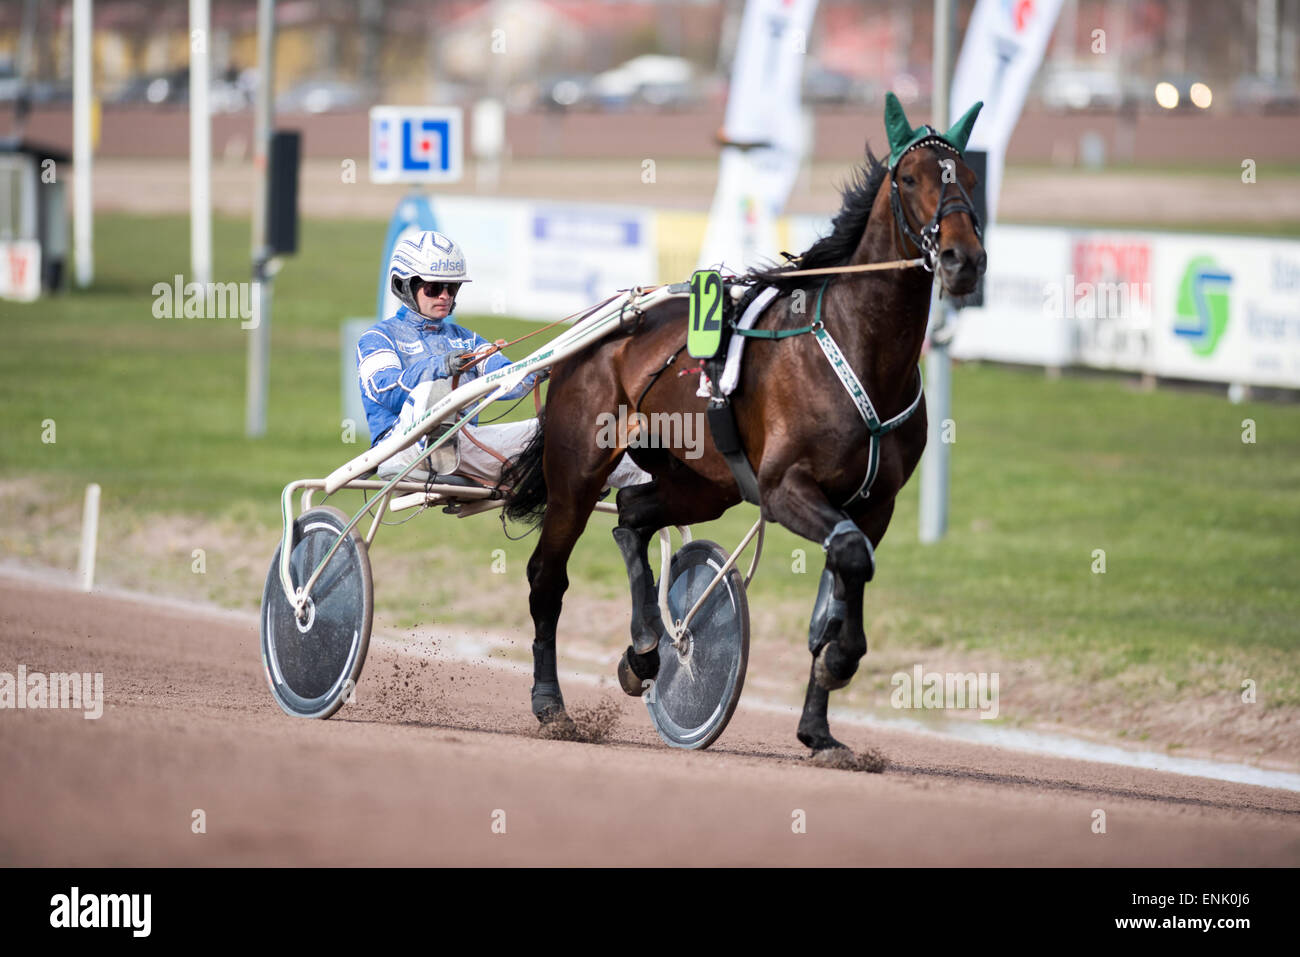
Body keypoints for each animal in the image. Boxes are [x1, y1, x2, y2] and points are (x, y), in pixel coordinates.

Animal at [501, 93, 977, 759]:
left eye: (973, 179)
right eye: (910, 179)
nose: (965, 259)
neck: (862, 352)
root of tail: (596, 333)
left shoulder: (873, 505)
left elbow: (842, 584)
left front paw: (819, 728)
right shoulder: (784, 488)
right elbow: (849, 559)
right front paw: (840, 663)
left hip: (705, 482)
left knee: (633, 516)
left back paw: (646, 649)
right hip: (576, 474)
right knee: (548, 577)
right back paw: (551, 704)